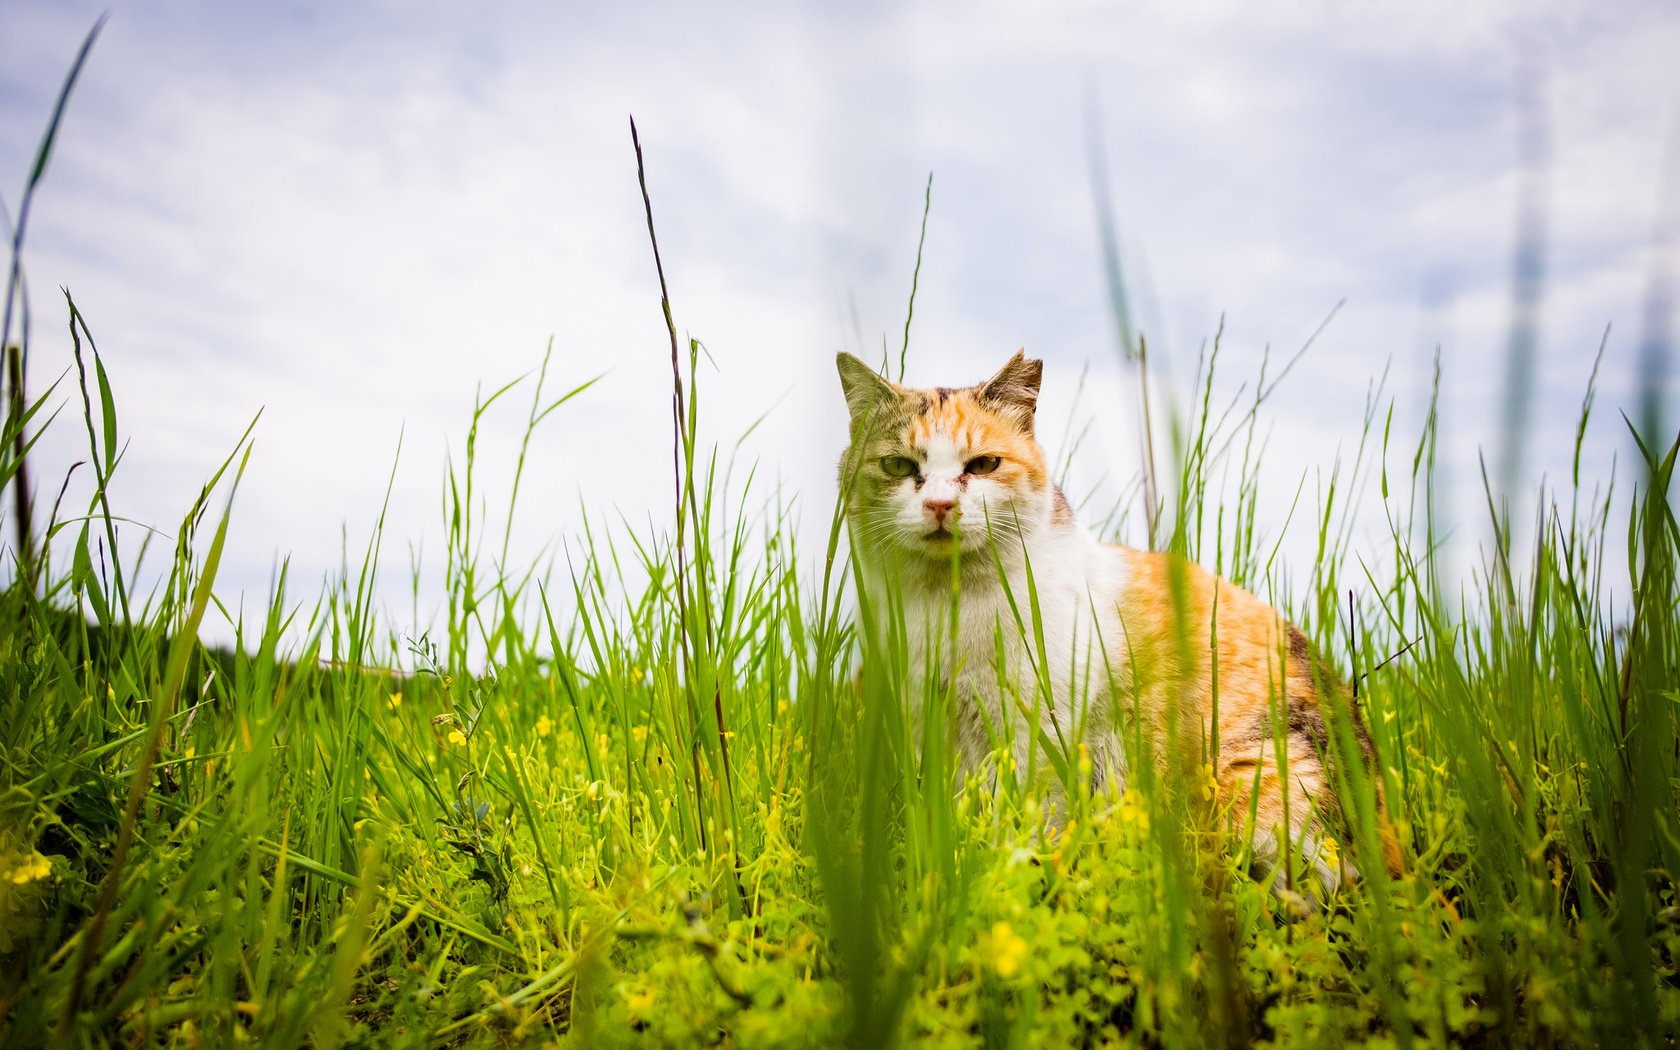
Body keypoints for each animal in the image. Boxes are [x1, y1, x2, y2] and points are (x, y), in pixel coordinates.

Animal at [840, 346, 1404, 900]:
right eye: (897, 465)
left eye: (983, 464)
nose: (939, 504)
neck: (948, 607)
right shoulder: (932, 728)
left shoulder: (1039, 732)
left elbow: (1030, 820)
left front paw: (1014, 878)